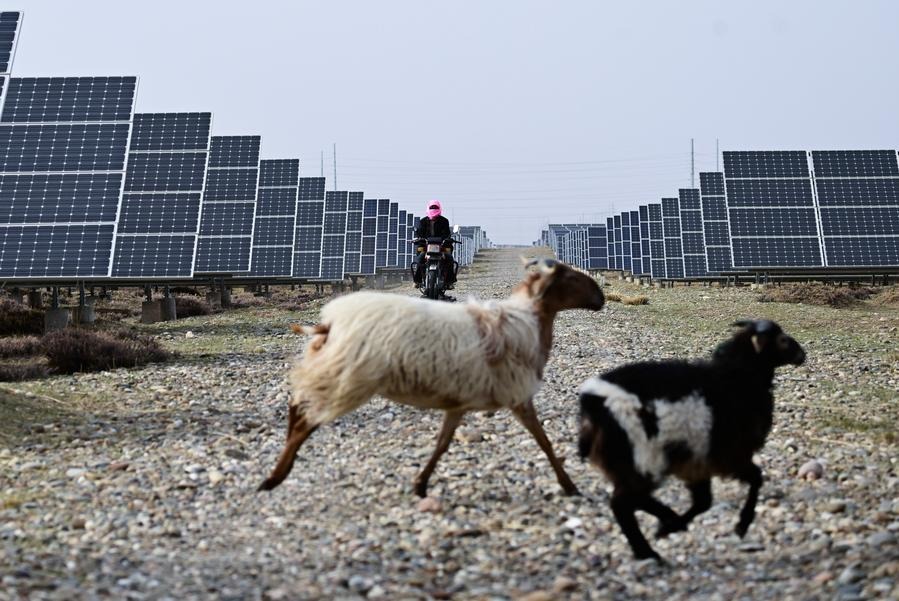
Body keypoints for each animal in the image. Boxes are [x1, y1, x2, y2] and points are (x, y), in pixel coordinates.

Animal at [256, 258, 604, 496]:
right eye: (572, 277)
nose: (601, 297)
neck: (528, 321)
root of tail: (329, 323)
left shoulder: (459, 402)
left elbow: (442, 443)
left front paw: (421, 484)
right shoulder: (517, 395)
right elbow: (543, 440)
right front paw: (569, 485)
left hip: (334, 370)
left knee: (297, 408)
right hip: (348, 377)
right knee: (304, 420)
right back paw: (273, 478)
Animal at [576, 322, 808, 560]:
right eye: (781, 340)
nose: (802, 355)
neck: (736, 380)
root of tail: (594, 405)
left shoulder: (699, 463)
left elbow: (704, 502)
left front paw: (671, 526)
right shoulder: (729, 456)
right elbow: (755, 479)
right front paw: (741, 525)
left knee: (628, 500)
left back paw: (661, 525)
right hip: (645, 458)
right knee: (622, 502)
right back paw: (649, 550)